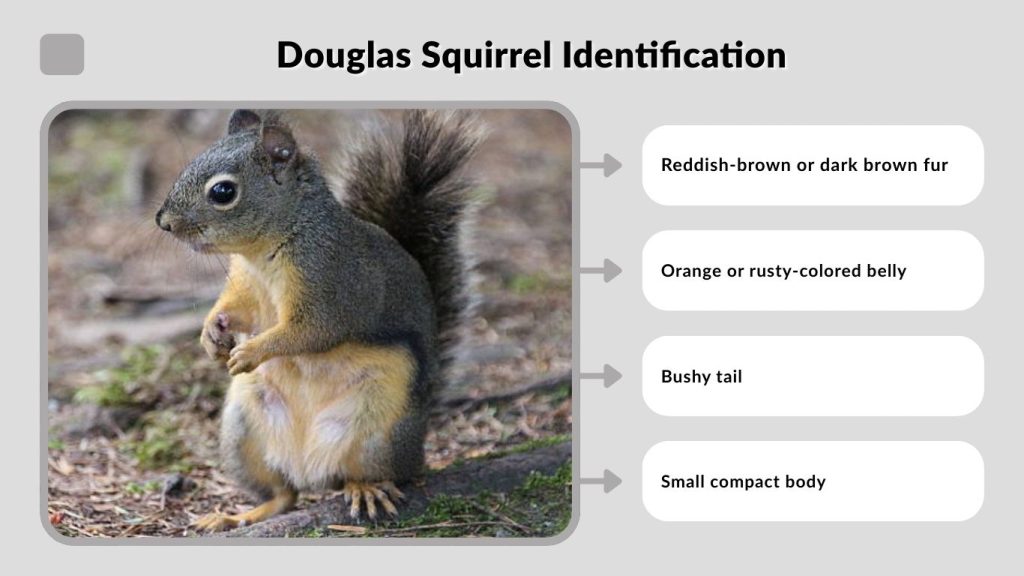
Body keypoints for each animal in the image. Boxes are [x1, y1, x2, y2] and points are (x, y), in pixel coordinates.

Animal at [155, 109, 479, 531]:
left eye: (223, 192)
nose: (163, 221)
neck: (264, 252)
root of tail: (309, 468)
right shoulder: (245, 284)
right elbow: (237, 309)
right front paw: (212, 332)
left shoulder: (328, 282)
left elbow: (310, 332)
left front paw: (250, 351)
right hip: (241, 433)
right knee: (284, 495)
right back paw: (237, 515)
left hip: (380, 433)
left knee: (374, 474)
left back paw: (365, 489)